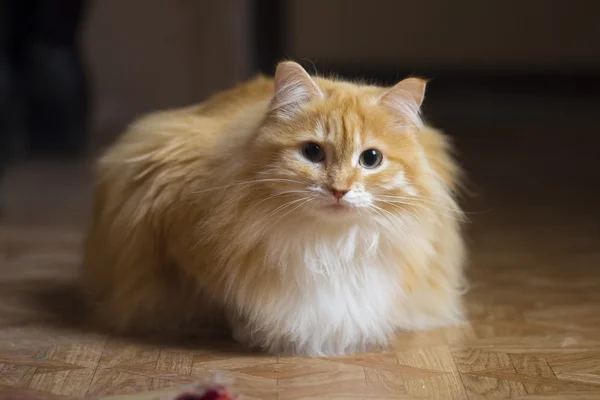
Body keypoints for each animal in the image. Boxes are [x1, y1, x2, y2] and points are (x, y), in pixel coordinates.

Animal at [81, 61, 464, 356]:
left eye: (371, 159)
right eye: (312, 152)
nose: (339, 190)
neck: (328, 244)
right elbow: (227, 300)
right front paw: (251, 332)